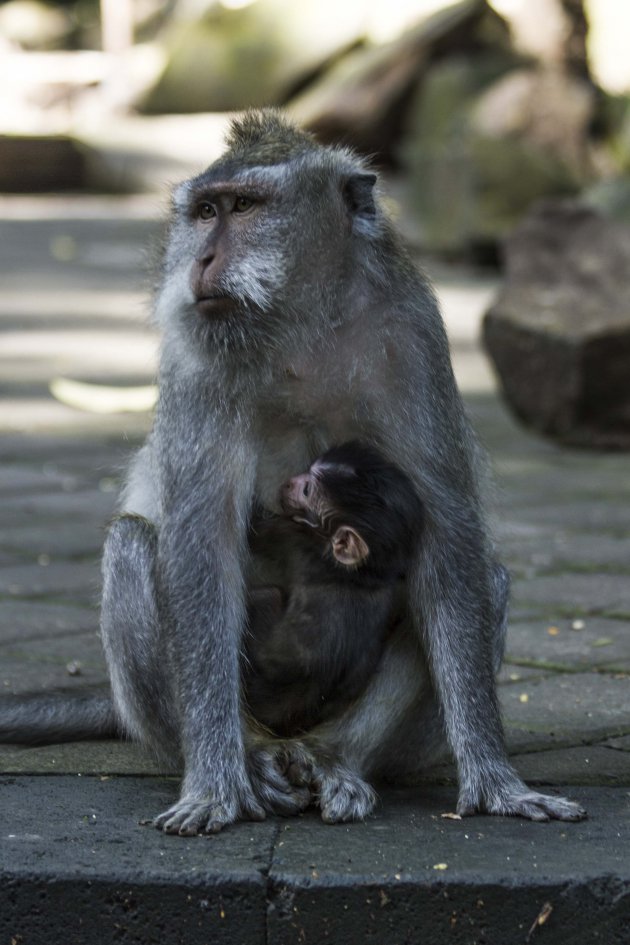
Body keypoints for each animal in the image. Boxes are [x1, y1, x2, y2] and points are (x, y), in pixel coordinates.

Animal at [246, 442, 424, 736]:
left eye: (307, 490)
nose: (290, 482)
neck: (362, 576)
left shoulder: (295, 538)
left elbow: (256, 529)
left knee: (266, 597)